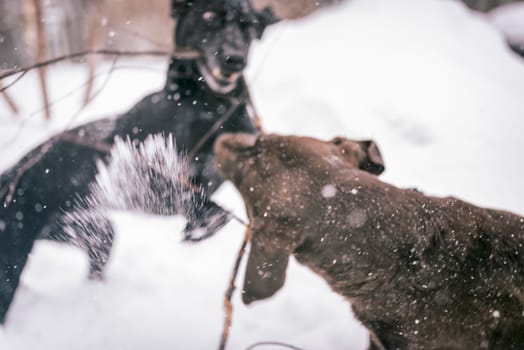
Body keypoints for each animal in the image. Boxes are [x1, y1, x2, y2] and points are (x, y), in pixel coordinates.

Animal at [0, 0, 278, 322]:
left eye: (248, 25)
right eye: (208, 16)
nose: (234, 59)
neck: (209, 107)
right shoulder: (142, 179)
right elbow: (189, 198)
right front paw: (205, 222)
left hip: (93, 232)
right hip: (11, 258)